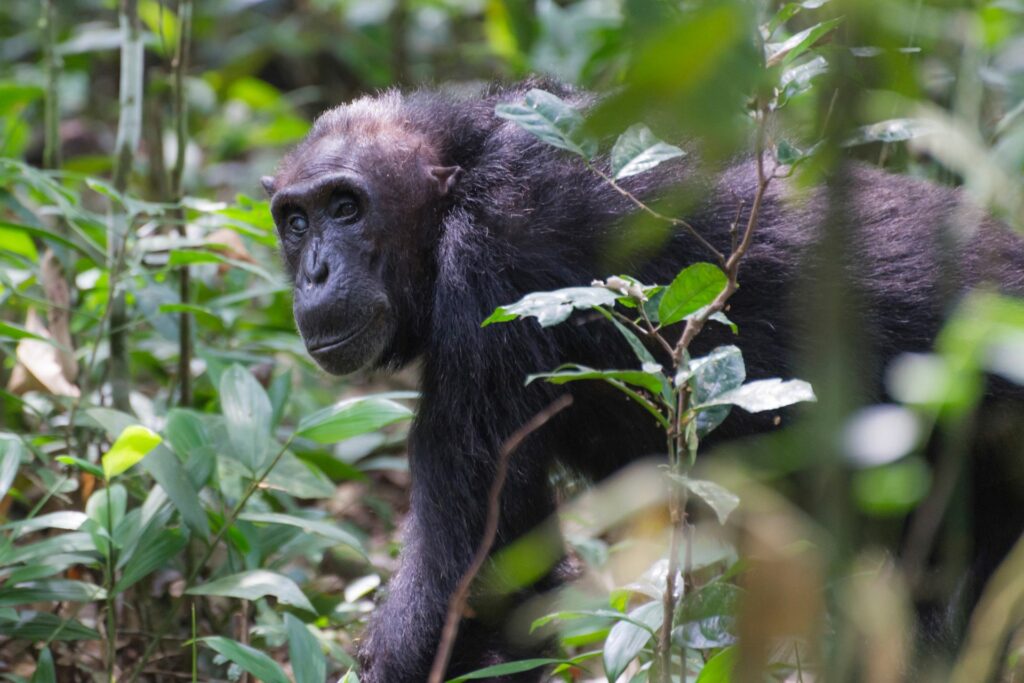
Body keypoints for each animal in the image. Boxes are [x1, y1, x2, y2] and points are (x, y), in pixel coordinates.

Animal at [263, 79, 1024, 681]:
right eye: (296, 220)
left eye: (346, 207)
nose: (316, 271)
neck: (455, 189)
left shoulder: (492, 268)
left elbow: (470, 566)